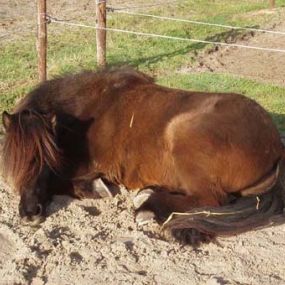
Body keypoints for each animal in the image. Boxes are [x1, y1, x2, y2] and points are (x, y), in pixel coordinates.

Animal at [1, 67, 282, 245]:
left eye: (45, 159)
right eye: (14, 162)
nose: (30, 213)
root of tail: (275, 144)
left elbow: (64, 181)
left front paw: (96, 187)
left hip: (182, 133)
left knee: (211, 199)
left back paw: (149, 207)